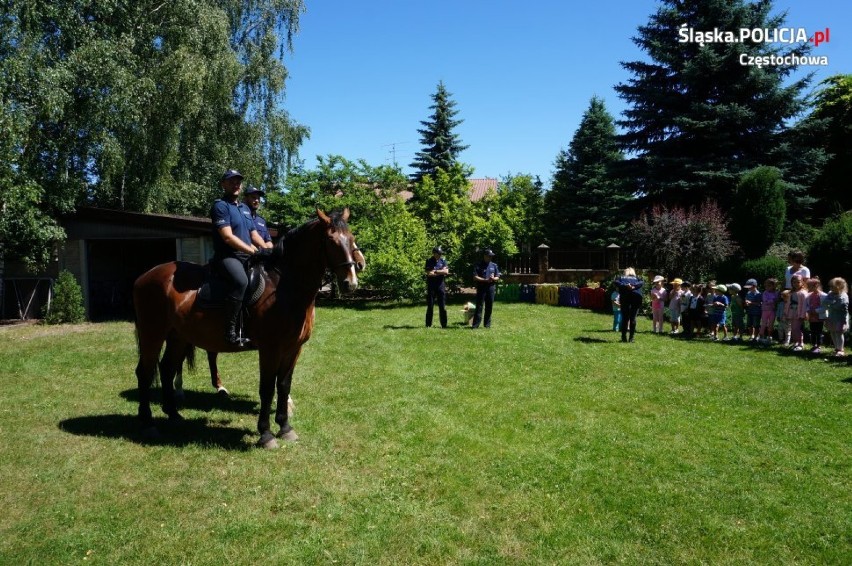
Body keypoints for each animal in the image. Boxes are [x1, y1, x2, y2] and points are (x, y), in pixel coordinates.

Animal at [135, 209, 362, 448]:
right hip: (152, 333)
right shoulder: (270, 349)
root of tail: (146, 276)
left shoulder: (294, 348)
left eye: (352, 238)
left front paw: (285, 427)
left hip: (178, 337)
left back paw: (174, 414)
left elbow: (284, 385)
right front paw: (266, 434)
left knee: (166, 369)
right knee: (145, 372)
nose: (351, 283)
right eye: (331, 241)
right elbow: (267, 388)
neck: (284, 287)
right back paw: (148, 423)